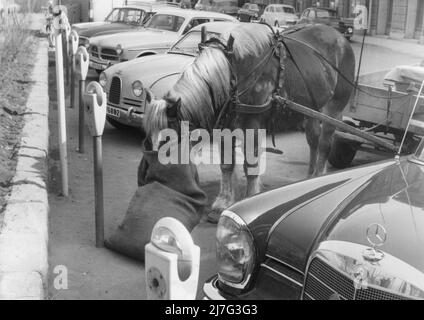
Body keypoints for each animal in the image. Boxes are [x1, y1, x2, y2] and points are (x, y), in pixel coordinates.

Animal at [142, 21, 354, 218]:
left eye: (168, 140)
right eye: (147, 138)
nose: (150, 179)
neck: (232, 72)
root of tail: (341, 38)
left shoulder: (252, 125)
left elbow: (250, 166)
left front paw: (250, 197)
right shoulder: (226, 127)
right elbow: (226, 165)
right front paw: (222, 202)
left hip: (333, 109)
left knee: (325, 143)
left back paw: (319, 175)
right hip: (311, 110)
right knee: (314, 141)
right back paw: (310, 178)